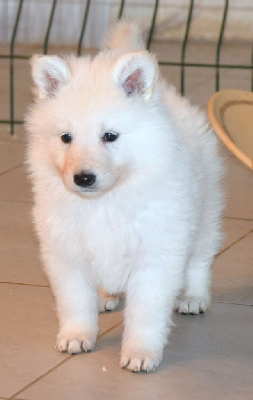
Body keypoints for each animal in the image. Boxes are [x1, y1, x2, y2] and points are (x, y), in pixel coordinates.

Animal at [25, 21, 223, 372]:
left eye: (110, 136)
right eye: (66, 137)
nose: (83, 178)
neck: (106, 201)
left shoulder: (155, 253)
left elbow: (145, 312)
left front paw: (140, 353)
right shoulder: (67, 252)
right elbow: (75, 300)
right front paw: (76, 336)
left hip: (205, 212)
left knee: (200, 258)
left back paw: (194, 297)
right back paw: (107, 296)